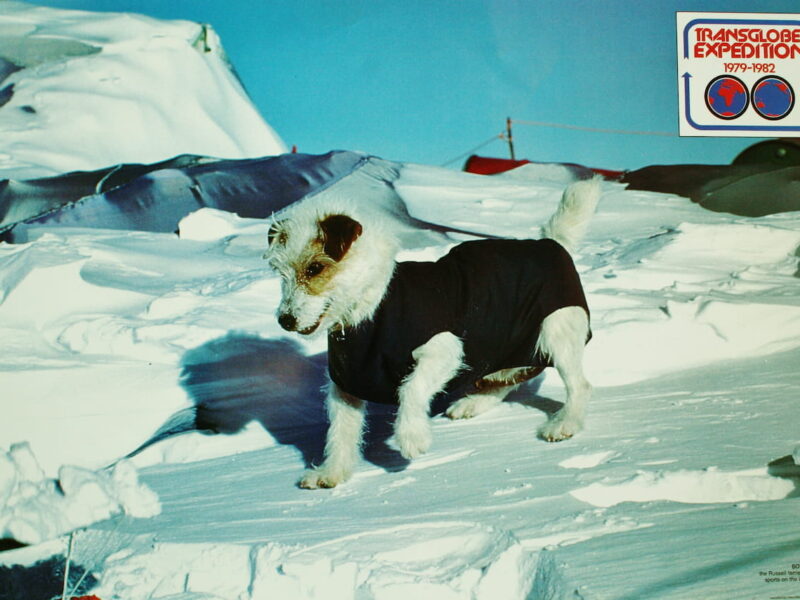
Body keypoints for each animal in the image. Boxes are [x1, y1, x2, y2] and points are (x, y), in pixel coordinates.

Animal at [266, 178, 596, 488]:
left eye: (314, 268)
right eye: (281, 274)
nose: (285, 320)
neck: (370, 308)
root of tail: (549, 243)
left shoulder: (443, 350)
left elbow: (410, 389)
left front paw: (412, 437)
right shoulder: (346, 384)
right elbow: (341, 431)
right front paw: (332, 473)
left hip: (556, 332)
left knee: (579, 385)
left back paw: (565, 424)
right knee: (508, 380)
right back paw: (472, 404)